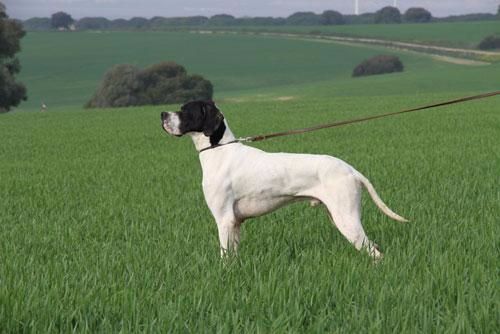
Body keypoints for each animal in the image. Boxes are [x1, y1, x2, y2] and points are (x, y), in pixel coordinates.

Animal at [162, 100, 408, 260]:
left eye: (185, 110)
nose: (162, 114)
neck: (219, 150)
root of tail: (350, 169)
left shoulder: (224, 219)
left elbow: (224, 257)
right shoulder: (235, 223)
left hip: (347, 220)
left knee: (375, 253)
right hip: (339, 216)